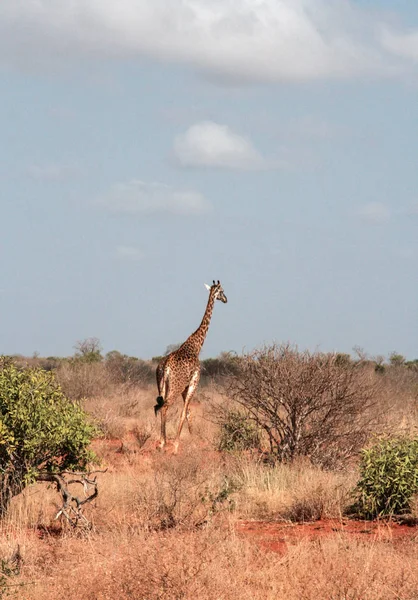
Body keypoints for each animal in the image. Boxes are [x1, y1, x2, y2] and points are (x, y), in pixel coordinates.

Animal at [154, 278, 227, 452]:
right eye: (222, 291)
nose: (226, 299)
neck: (195, 345)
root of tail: (165, 367)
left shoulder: (185, 387)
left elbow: (188, 413)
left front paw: (191, 441)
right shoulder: (194, 383)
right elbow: (185, 412)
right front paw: (176, 445)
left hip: (162, 386)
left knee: (158, 407)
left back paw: (161, 441)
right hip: (175, 387)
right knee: (165, 407)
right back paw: (165, 443)